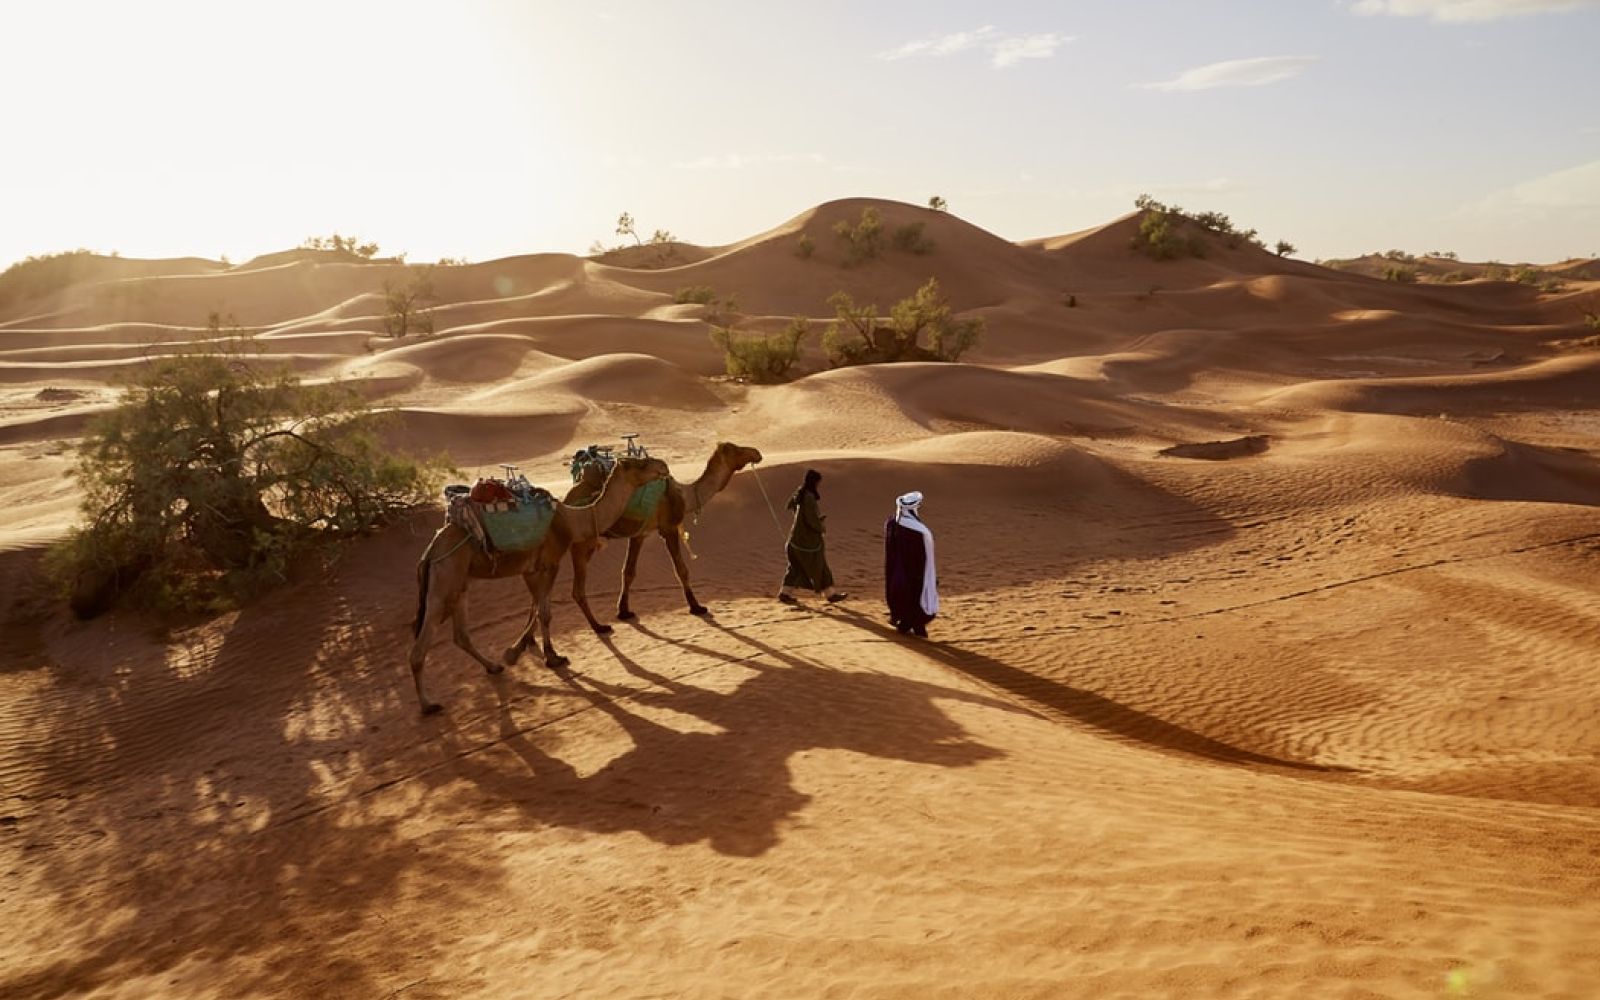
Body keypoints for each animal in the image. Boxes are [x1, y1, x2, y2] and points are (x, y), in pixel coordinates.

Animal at [412, 457, 668, 713]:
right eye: (640, 464)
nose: (663, 467)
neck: (571, 521)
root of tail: (430, 552)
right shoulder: (548, 563)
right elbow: (545, 612)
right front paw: (552, 657)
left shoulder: (532, 569)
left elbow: (536, 606)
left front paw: (519, 650)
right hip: (444, 580)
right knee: (420, 646)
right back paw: (428, 704)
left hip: (460, 583)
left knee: (461, 635)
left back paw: (493, 666)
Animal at [563, 438, 761, 630]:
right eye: (736, 449)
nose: (757, 453)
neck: (684, 494)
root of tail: (567, 500)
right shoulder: (669, 528)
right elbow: (681, 570)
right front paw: (696, 607)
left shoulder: (639, 534)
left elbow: (628, 571)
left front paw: (624, 611)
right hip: (583, 542)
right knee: (577, 589)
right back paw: (598, 627)